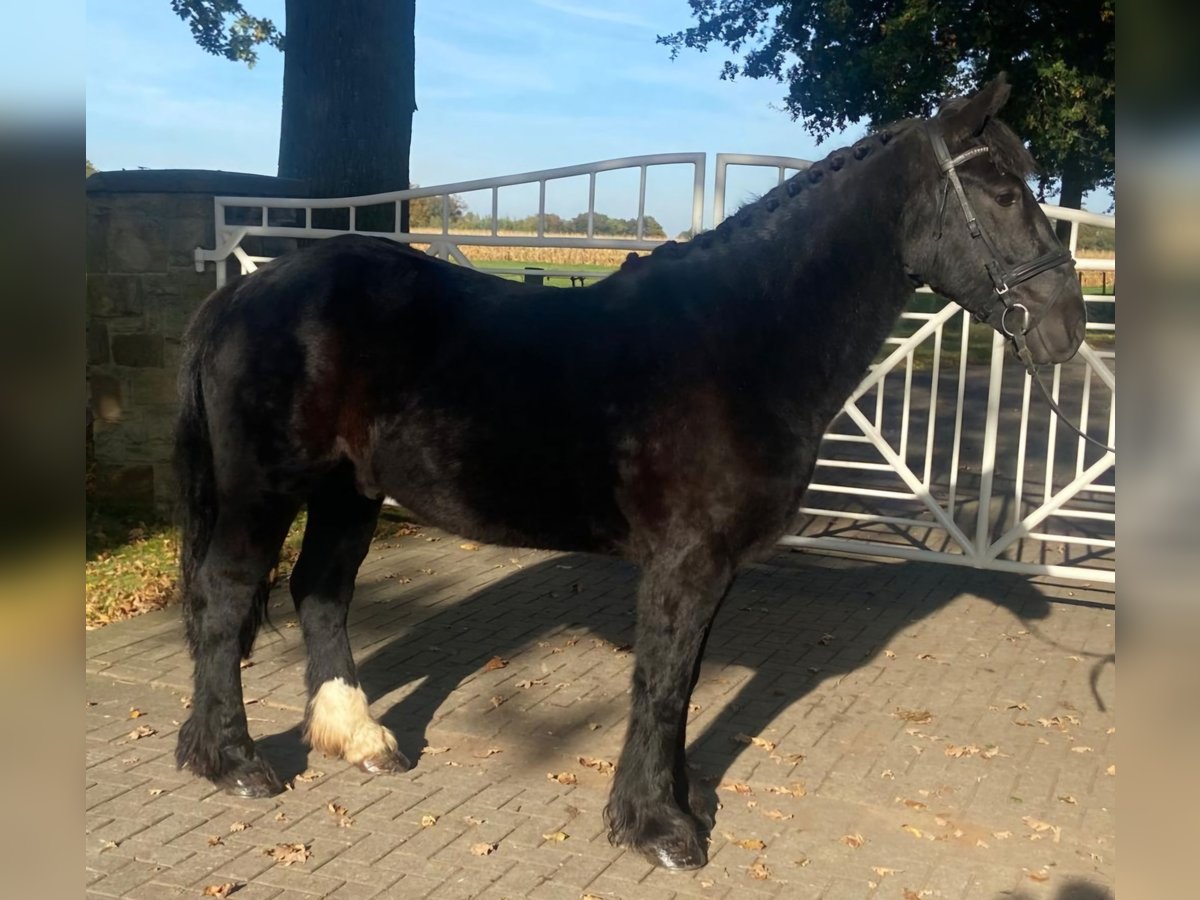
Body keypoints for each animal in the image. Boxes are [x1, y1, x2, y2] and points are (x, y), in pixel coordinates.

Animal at [171, 79, 1089, 873]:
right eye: (1003, 193)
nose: (1067, 327)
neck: (744, 335)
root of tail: (243, 295)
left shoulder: (710, 568)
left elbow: (682, 685)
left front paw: (677, 805)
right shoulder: (685, 564)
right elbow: (664, 683)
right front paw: (658, 828)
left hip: (348, 491)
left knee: (321, 593)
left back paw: (360, 740)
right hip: (264, 491)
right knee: (224, 596)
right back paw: (232, 761)